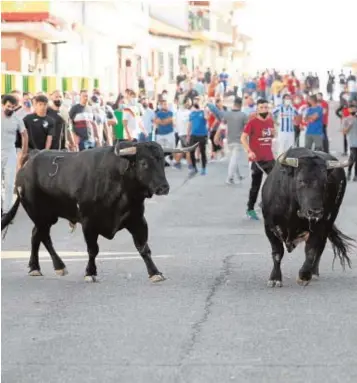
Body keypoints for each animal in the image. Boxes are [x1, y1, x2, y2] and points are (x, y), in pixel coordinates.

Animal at [0, 142, 197, 284]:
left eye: (162, 162)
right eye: (144, 163)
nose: (164, 187)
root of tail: (28, 163)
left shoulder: (138, 220)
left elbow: (143, 247)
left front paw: (155, 272)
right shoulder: (89, 223)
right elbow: (93, 249)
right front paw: (90, 273)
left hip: (47, 216)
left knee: (37, 235)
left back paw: (40, 267)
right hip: (40, 214)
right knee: (43, 236)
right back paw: (50, 266)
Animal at [260, 147, 354, 288]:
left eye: (325, 183)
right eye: (301, 180)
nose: (315, 211)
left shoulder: (319, 225)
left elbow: (311, 250)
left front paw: (304, 275)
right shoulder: (269, 226)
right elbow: (277, 253)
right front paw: (275, 278)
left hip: (330, 220)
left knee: (320, 247)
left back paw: (313, 272)